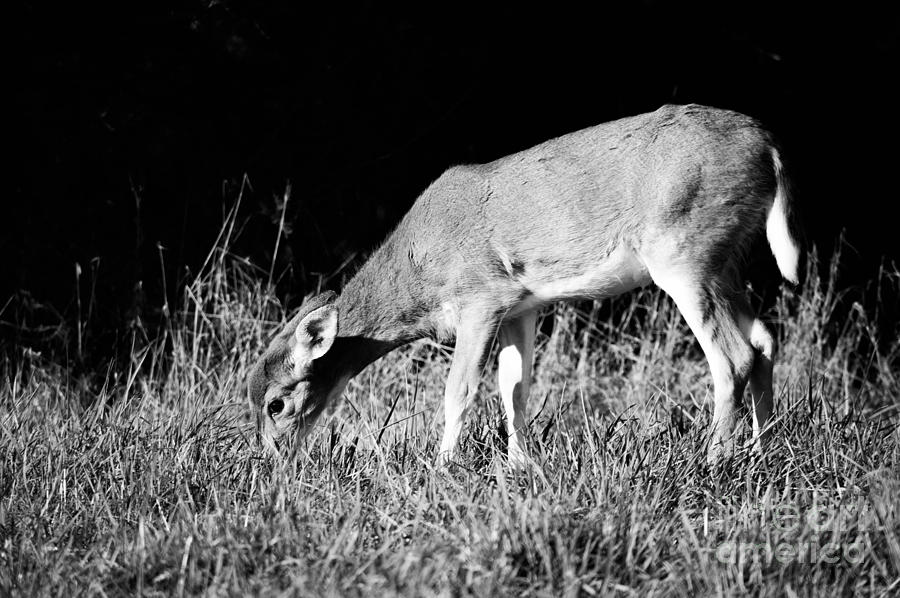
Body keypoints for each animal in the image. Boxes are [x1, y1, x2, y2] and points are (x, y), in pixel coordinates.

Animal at [248, 103, 800, 468]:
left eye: (276, 402)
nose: (273, 461)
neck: (420, 272)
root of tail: (770, 148)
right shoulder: (520, 307)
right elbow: (515, 387)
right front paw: (518, 467)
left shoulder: (482, 297)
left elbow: (460, 387)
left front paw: (442, 469)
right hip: (724, 261)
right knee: (763, 340)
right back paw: (761, 451)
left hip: (684, 252)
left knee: (732, 356)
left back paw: (713, 461)